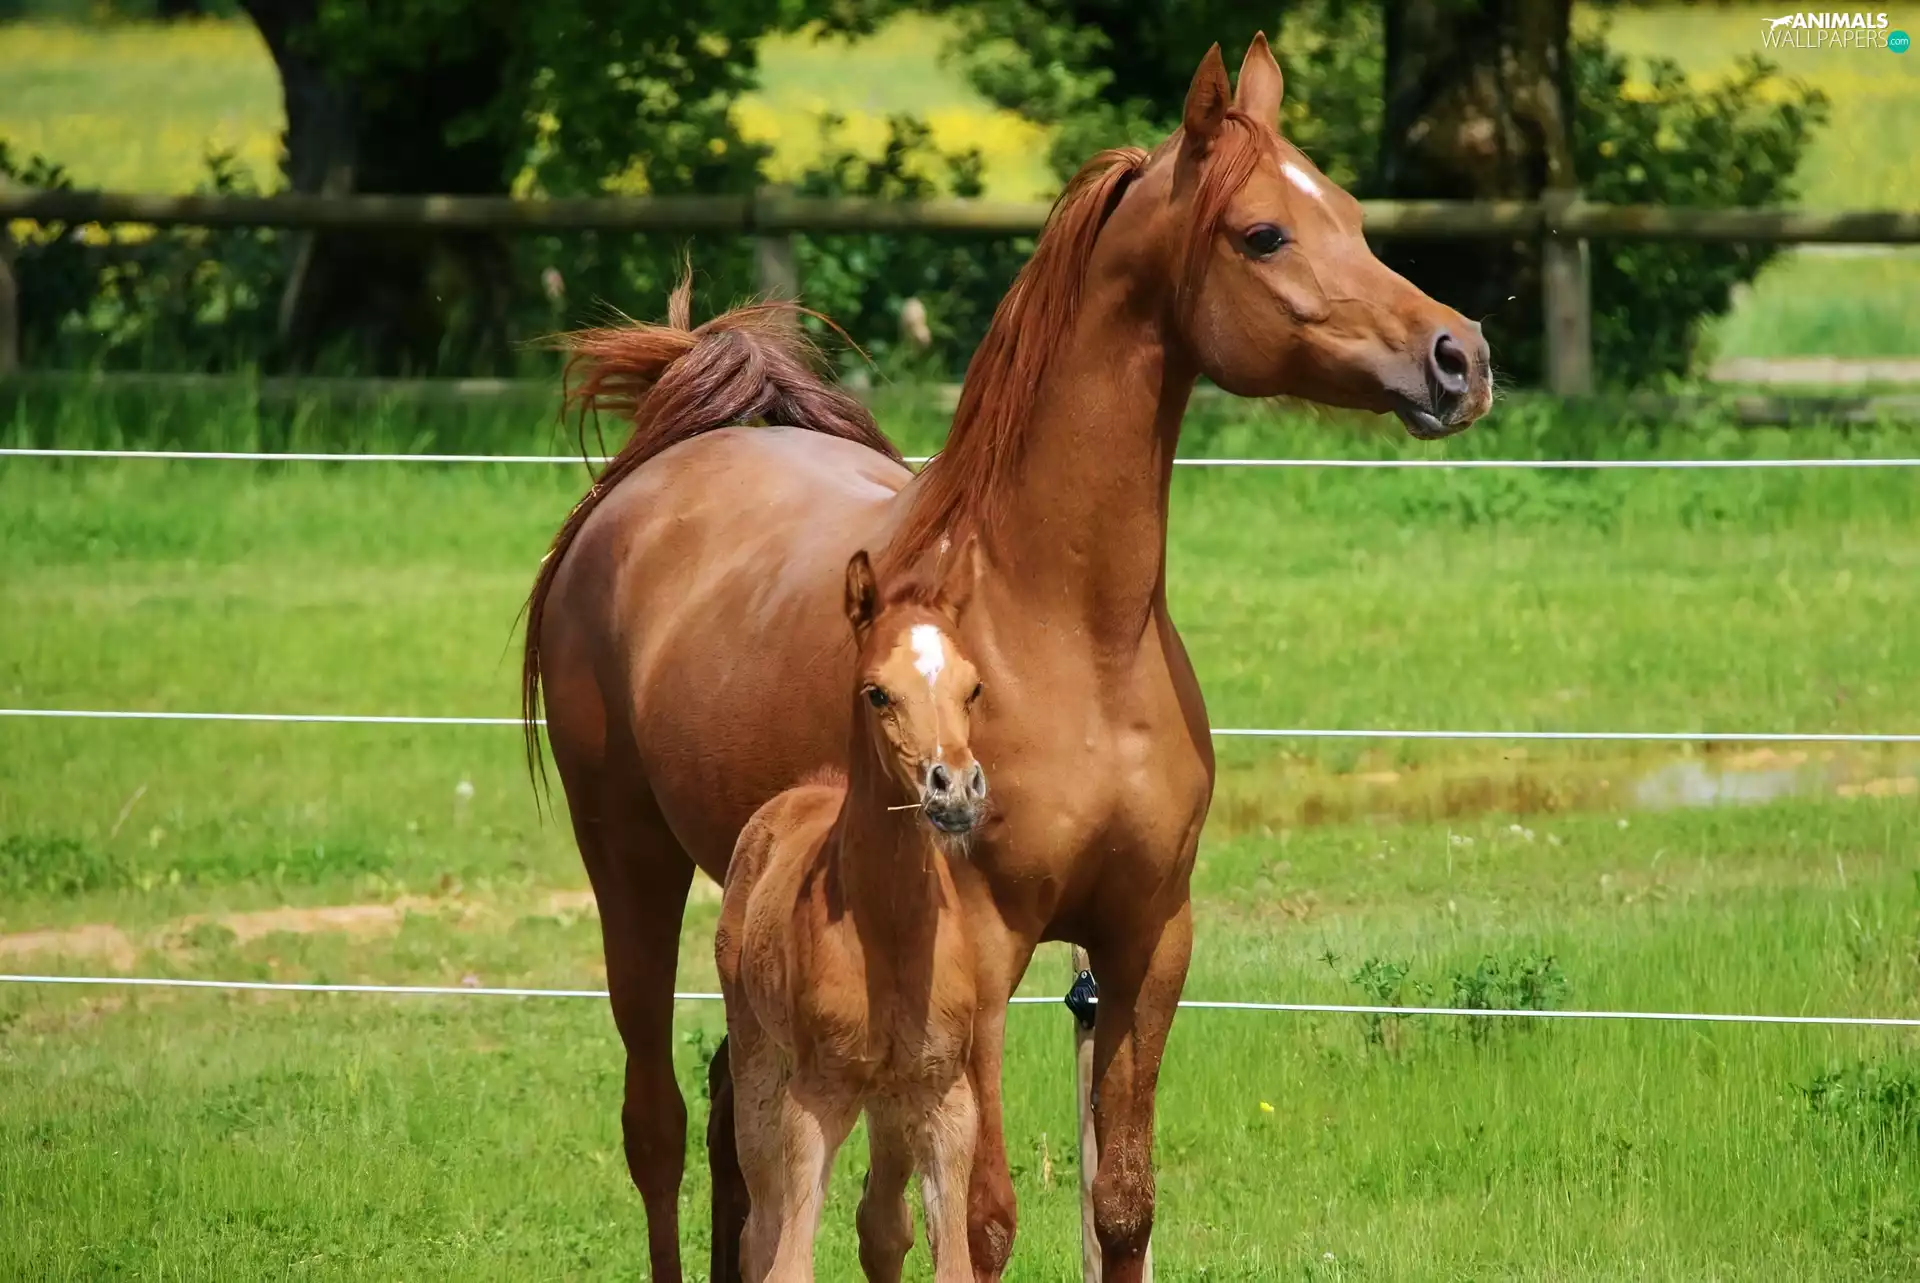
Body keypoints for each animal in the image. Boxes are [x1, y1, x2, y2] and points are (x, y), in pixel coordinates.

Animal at [716, 546, 990, 1282]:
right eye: (878, 692)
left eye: (973, 688)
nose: (955, 789)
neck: (889, 931)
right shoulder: (817, 1097)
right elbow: (788, 1260)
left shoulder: (942, 1095)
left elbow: (948, 1261)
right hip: (760, 1061)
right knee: (761, 1228)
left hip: (889, 1099)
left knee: (883, 1228)